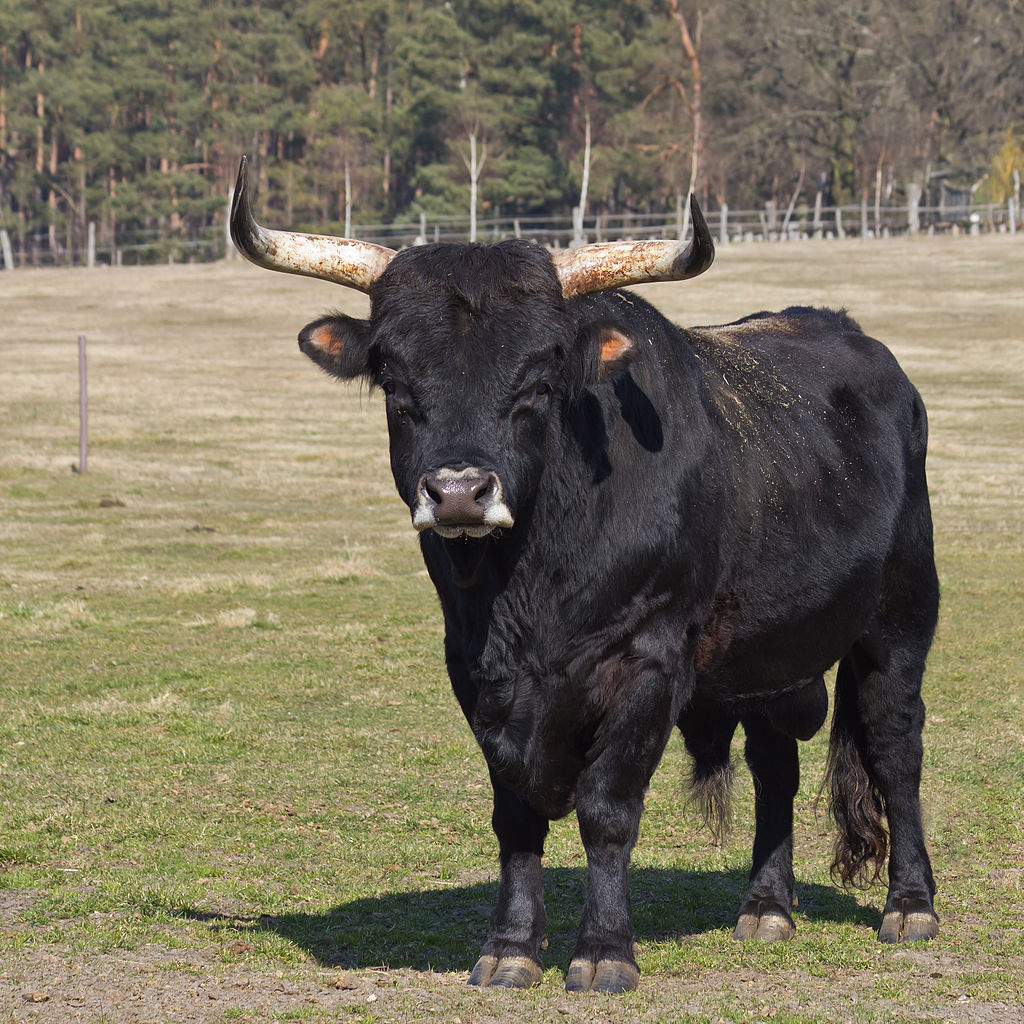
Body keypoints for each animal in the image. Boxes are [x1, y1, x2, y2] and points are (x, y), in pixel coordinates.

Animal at [230, 157, 937, 991]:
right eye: (394, 384)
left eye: (538, 381)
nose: (460, 492)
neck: (530, 590)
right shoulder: (475, 674)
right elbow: (515, 814)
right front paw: (509, 947)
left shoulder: (647, 662)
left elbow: (607, 808)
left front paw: (603, 950)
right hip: (766, 655)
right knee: (775, 766)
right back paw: (766, 907)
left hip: (900, 620)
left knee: (895, 750)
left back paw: (911, 904)